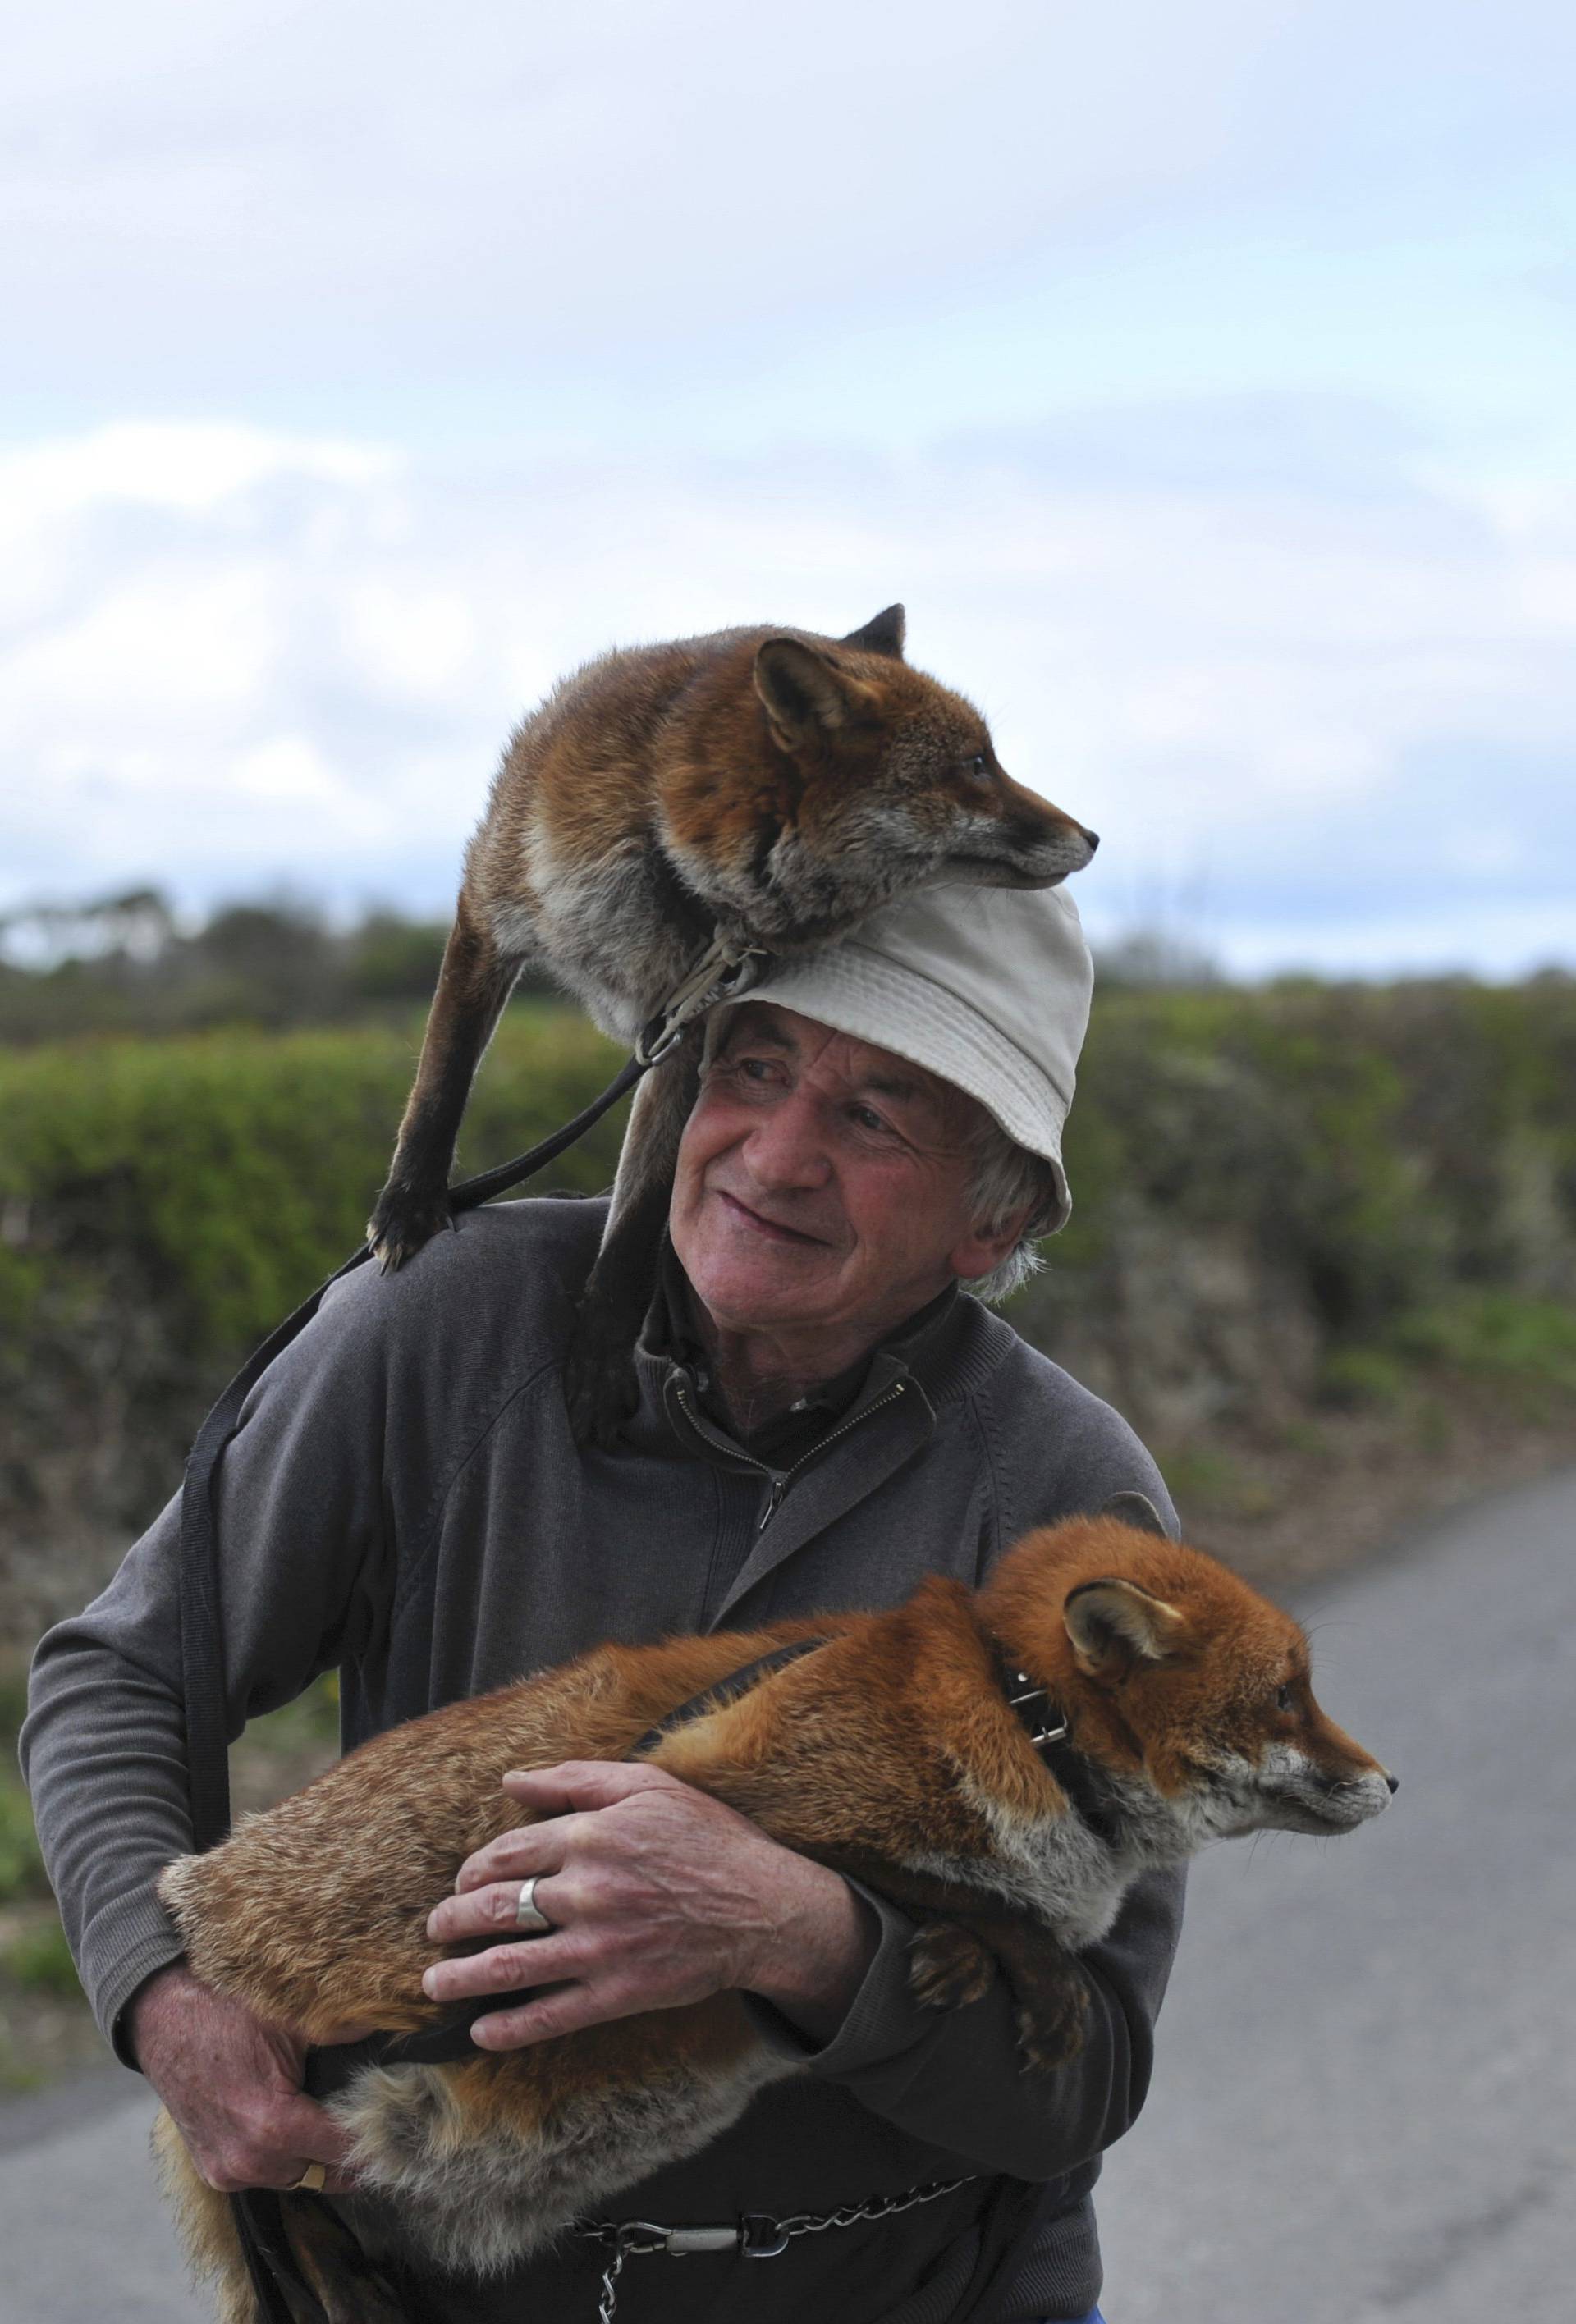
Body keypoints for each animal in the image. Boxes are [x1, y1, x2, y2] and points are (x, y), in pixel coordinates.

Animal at [367, 604, 1097, 1431]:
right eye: (977, 765)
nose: (1094, 837)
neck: (674, 870)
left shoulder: (683, 1034)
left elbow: (639, 1218)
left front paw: (599, 1349)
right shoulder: (489, 915)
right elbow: (441, 1081)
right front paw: (410, 1203)